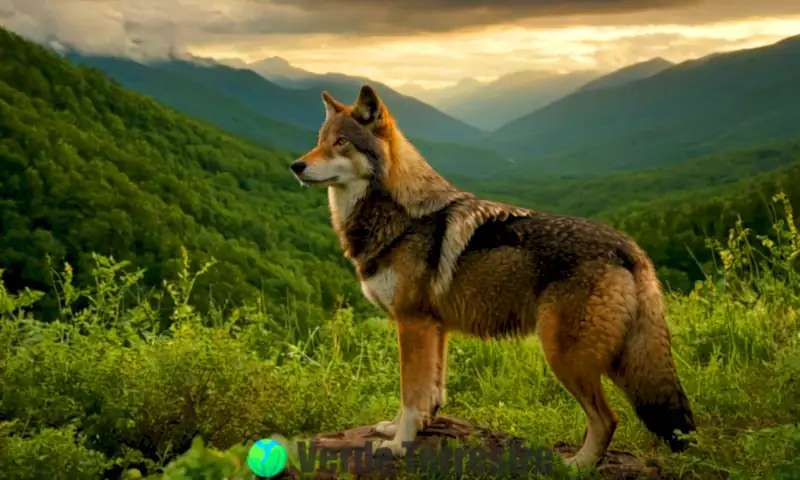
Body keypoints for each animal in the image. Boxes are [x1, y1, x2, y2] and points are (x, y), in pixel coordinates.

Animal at [288, 84, 692, 466]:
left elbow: (410, 393)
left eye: (341, 142)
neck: (398, 216)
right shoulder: (435, 328)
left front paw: (398, 445)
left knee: (608, 419)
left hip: (566, 357)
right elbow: (430, 391)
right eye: (319, 141)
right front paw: (404, 428)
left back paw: (577, 465)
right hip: (614, 360)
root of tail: (631, 249)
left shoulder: (412, 324)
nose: (295, 165)